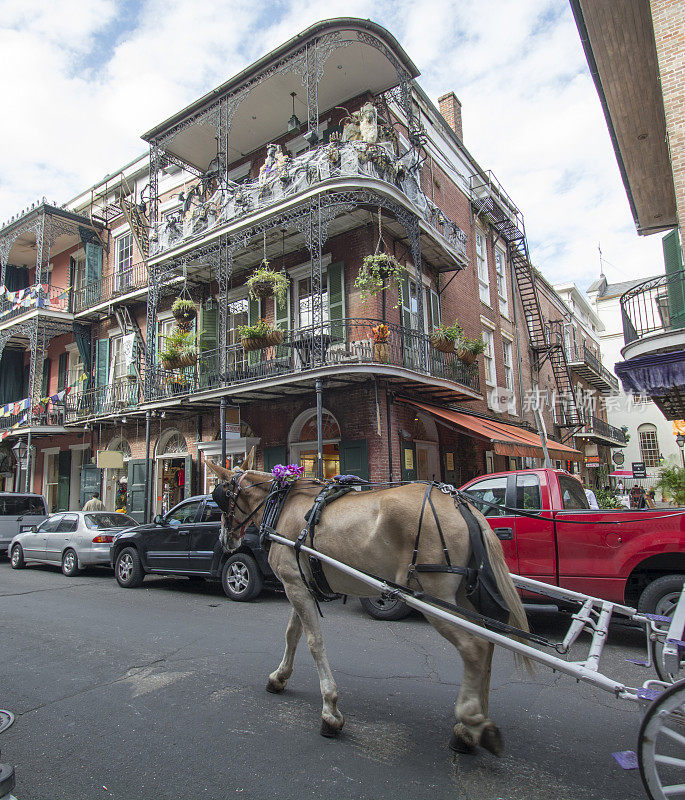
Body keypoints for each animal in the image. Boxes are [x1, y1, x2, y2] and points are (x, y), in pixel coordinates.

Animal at [207, 450, 528, 756]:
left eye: (219, 497)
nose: (224, 540)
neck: (282, 506)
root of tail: (463, 505)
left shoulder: (294, 585)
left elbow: (313, 642)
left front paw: (330, 712)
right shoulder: (300, 584)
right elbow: (292, 634)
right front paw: (279, 677)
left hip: (435, 598)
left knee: (475, 648)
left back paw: (469, 722)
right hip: (461, 599)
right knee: (488, 645)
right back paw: (473, 727)